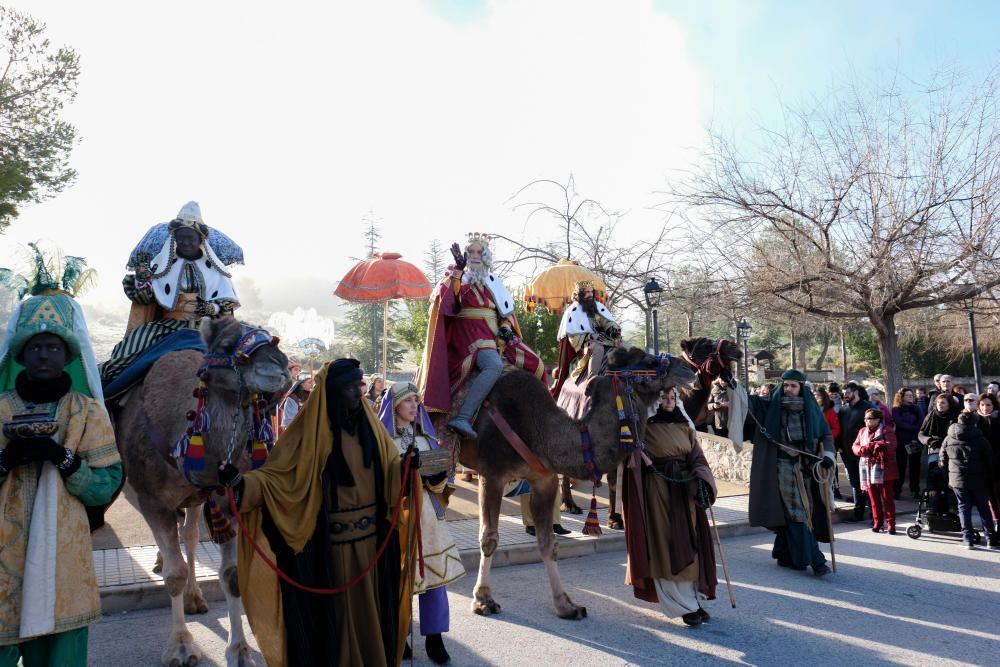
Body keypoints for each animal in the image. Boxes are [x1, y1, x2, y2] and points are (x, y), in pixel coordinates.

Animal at [116, 320, 292, 667]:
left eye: (273, 338)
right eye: (226, 345)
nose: (280, 366)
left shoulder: (227, 496)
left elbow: (232, 574)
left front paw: (240, 651)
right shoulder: (153, 500)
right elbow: (174, 575)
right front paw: (181, 647)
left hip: (197, 498)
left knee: (190, 535)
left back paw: (195, 598)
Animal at [450, 350, 700, 620]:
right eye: (648, 361)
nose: (688, 370)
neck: (540, 431)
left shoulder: (544, 479)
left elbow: (548, 543)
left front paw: (566, 606)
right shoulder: (492, 475)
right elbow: (489, 538)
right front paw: (483, 600)